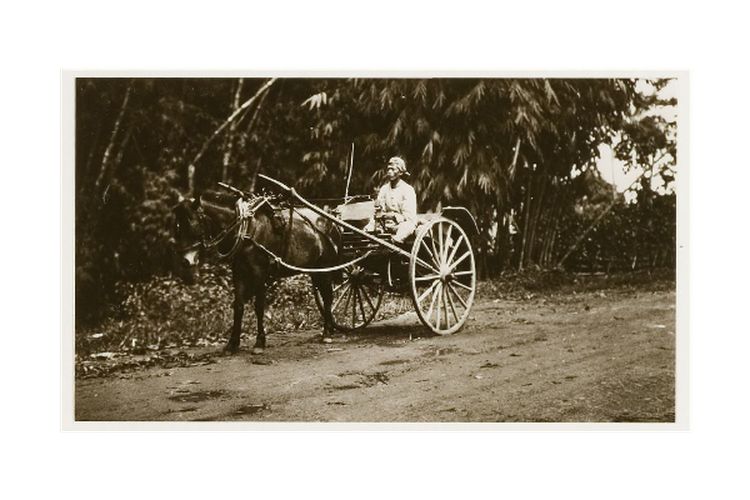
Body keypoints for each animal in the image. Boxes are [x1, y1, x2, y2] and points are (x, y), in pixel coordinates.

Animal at [173, 189, 340, 354]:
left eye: (191, 223)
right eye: (177, 227)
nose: (185, 261)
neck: (247, 229)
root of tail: (331, 221)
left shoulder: (260, 273)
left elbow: (259, 307)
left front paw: (260, 342)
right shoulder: (238, 273)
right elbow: (238, 306)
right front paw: (232, 343)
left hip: (325, 268)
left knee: (328, 297)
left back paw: (327, 333)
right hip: (314, 270)